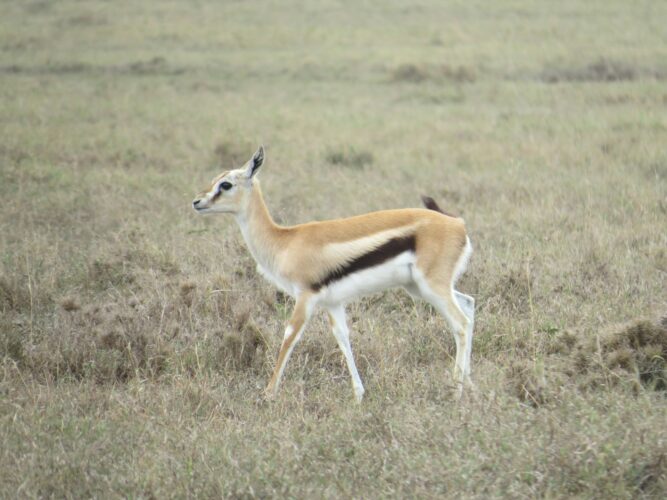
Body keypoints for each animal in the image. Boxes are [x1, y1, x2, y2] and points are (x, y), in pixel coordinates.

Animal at [192, 146, 475, 402]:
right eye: (217, 178)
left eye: (226, 184)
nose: (197, 202)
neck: (285, 241)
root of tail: (457, 223)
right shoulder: (333, 303)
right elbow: (342, 338)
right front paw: (359, 395)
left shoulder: (305, 297)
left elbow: (289, 336)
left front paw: (268, 394)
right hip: (419, 287)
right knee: (469, 305)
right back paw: (468, 384)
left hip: (431, 286)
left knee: (459, 322)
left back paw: (456, 391)